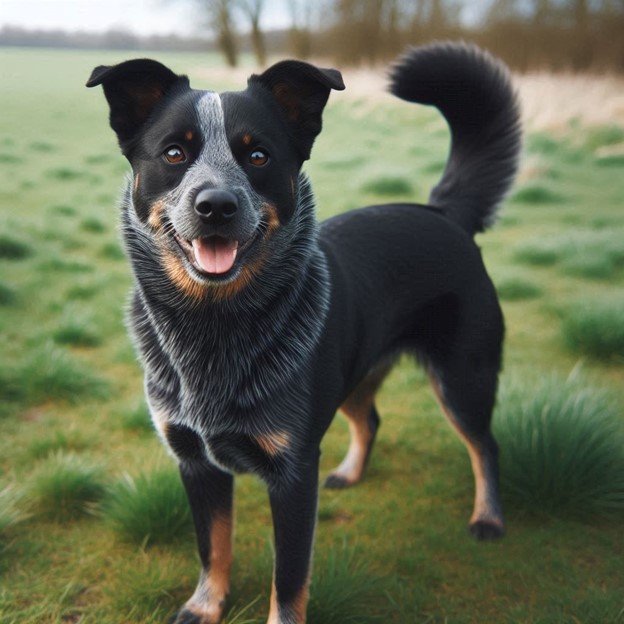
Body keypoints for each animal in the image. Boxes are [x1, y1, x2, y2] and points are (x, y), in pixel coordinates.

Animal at [88, 41, 520, 620]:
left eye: (259, 156)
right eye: (174, 153)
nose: (216, 206)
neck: (211, 330)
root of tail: (444, 212)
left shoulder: (293, 475)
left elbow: (289, 580)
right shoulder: (194, 459)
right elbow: (212, 546)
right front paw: (205, 605)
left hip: (463, 377)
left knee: (484, 446)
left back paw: (488, 518)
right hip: (358, 371)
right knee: (371, 418)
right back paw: (351, 472)